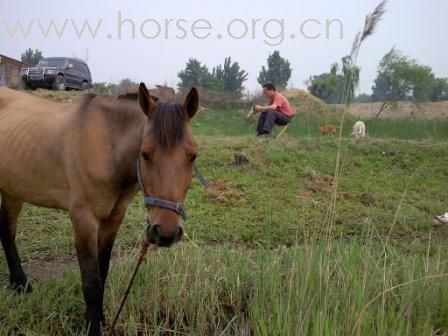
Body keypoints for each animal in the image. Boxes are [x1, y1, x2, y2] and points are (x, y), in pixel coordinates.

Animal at [0, 82, 198, 334]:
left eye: (193, 156)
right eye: (145, 154)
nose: (166, 232)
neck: (107, 148)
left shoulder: (114, 218)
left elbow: (102, 272)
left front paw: (101, 320)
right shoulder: (83, 220)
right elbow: (91, 282)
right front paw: (91, 326)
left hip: (12, 191)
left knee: (7, 231)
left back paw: (19, 283)